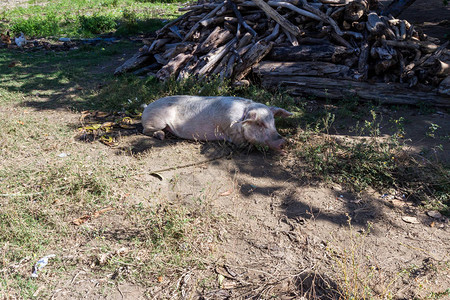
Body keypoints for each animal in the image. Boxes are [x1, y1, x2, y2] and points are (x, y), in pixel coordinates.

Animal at [142, 96, 294, 151]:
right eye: (260, 124)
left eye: (273, 122)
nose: (283, 142)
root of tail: (146, 107)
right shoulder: (232, 134)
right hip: (156, 122)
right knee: (145, 131)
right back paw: (161, 136)